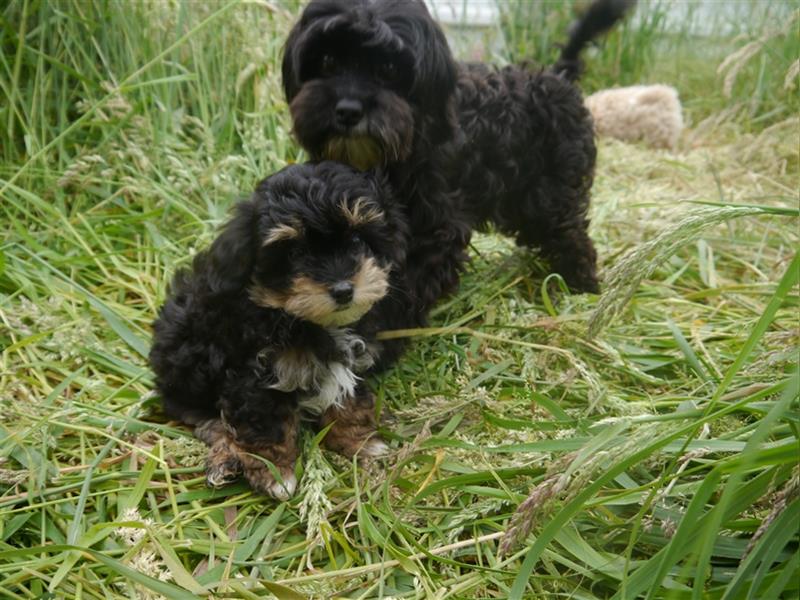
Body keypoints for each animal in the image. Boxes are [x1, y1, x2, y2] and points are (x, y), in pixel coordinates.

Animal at [152, 162, 406, 500]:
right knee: (193, 411)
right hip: (185, 360)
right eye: (295, 253)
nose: (342, 290)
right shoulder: (254, 375)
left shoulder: (349, 356)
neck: (297, 317)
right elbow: (264, 422)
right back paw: (224, 452)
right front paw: (275, 474)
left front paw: (359, 441)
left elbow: (348, 398)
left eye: (356, 241)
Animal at [284, 0, 636, 324]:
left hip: (553, 198)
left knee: (573, 238)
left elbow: (409, 286)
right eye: (327, 60)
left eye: (389, 69)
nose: (348, 110)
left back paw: (582, 289)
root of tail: (558, 75)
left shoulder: (437, 228)